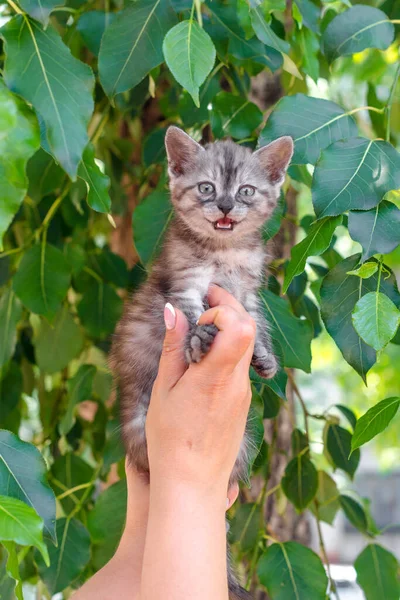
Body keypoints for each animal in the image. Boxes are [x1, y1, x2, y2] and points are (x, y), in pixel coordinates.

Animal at [111, 127, 292, 600]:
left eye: (246, 191)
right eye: (207, 188)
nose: (226, 205)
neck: (223, 250)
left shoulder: (247, 291)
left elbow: (256, 320)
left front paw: (264, 355)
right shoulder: (185, 282)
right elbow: (189, 314)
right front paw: (199, 340)